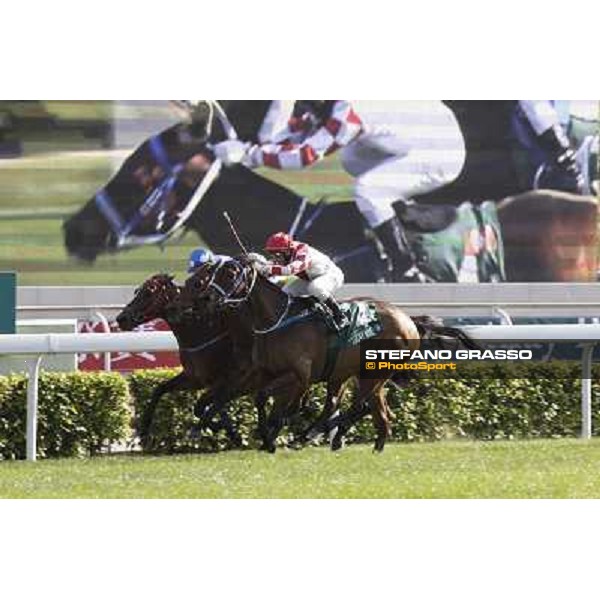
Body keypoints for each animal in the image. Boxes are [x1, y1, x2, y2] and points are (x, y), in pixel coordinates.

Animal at [180, 255, 480, 452]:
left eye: (230, 274)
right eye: (209, 274)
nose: (205, 299)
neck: (274, 319)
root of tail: (409, 320)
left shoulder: (298, 375)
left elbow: (276, 402)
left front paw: (271, 435)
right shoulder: (259, 372)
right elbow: (238, 398)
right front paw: (209, 429)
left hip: (375, 373)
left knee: (358, 407)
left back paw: (312, 435)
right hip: (353, 374)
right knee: (371, 412)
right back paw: (361, 442)